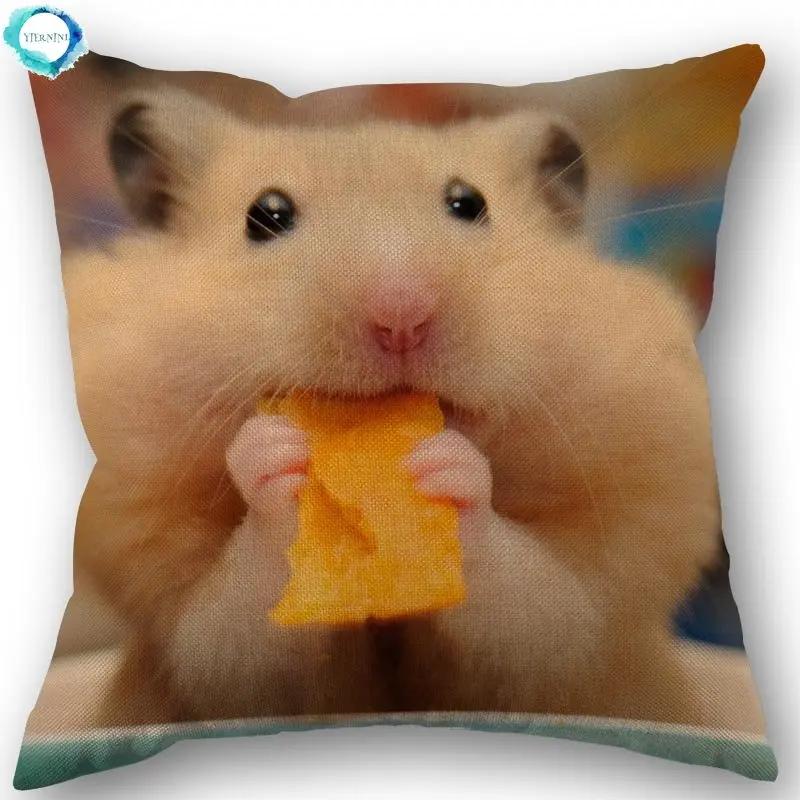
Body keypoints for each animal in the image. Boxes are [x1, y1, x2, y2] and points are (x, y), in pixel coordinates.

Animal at [63, 89, 720, 727]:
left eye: (469, 203)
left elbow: (532, 610)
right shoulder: (196, 649)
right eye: (266, 216)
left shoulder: (572, 639)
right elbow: (234, 635)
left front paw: (446, 463)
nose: (400, 316)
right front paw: (274, 451)